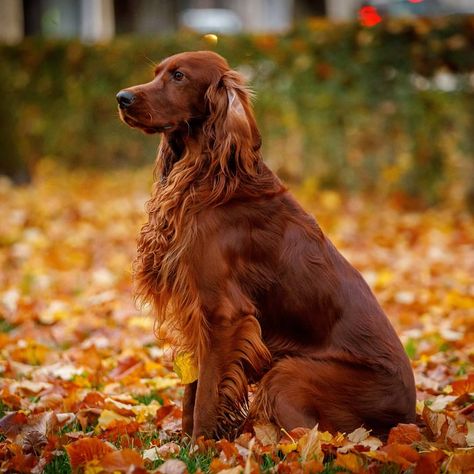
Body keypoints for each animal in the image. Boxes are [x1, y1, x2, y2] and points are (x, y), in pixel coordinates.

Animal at [116, 51, 416, 440]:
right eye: (156, 73)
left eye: (179, 76)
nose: (122, 97)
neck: (208, 177)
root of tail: (409, 417)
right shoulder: (196, 307)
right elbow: (192, 390)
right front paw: (185, 442)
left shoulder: (222, 313)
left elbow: (207, 393)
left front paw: (202, 445)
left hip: (288, 375)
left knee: (311, 439)